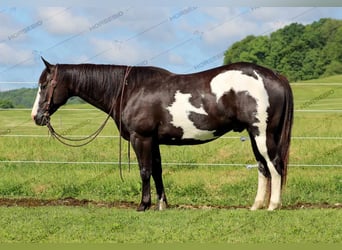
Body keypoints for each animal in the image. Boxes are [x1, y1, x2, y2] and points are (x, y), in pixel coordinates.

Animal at [32, 58, 294, 211]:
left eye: (44, 85)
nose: (36, 117)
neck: (130, 89)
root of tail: (275, 75)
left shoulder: (141, 138)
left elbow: (145, 171)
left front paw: (143, 205)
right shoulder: (153, 141)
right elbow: (157, 170)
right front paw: (162, 204)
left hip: (262, 134)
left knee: (274, 165)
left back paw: (273, 205)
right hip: (254, 135)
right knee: (262, 167)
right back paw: (256, 205)